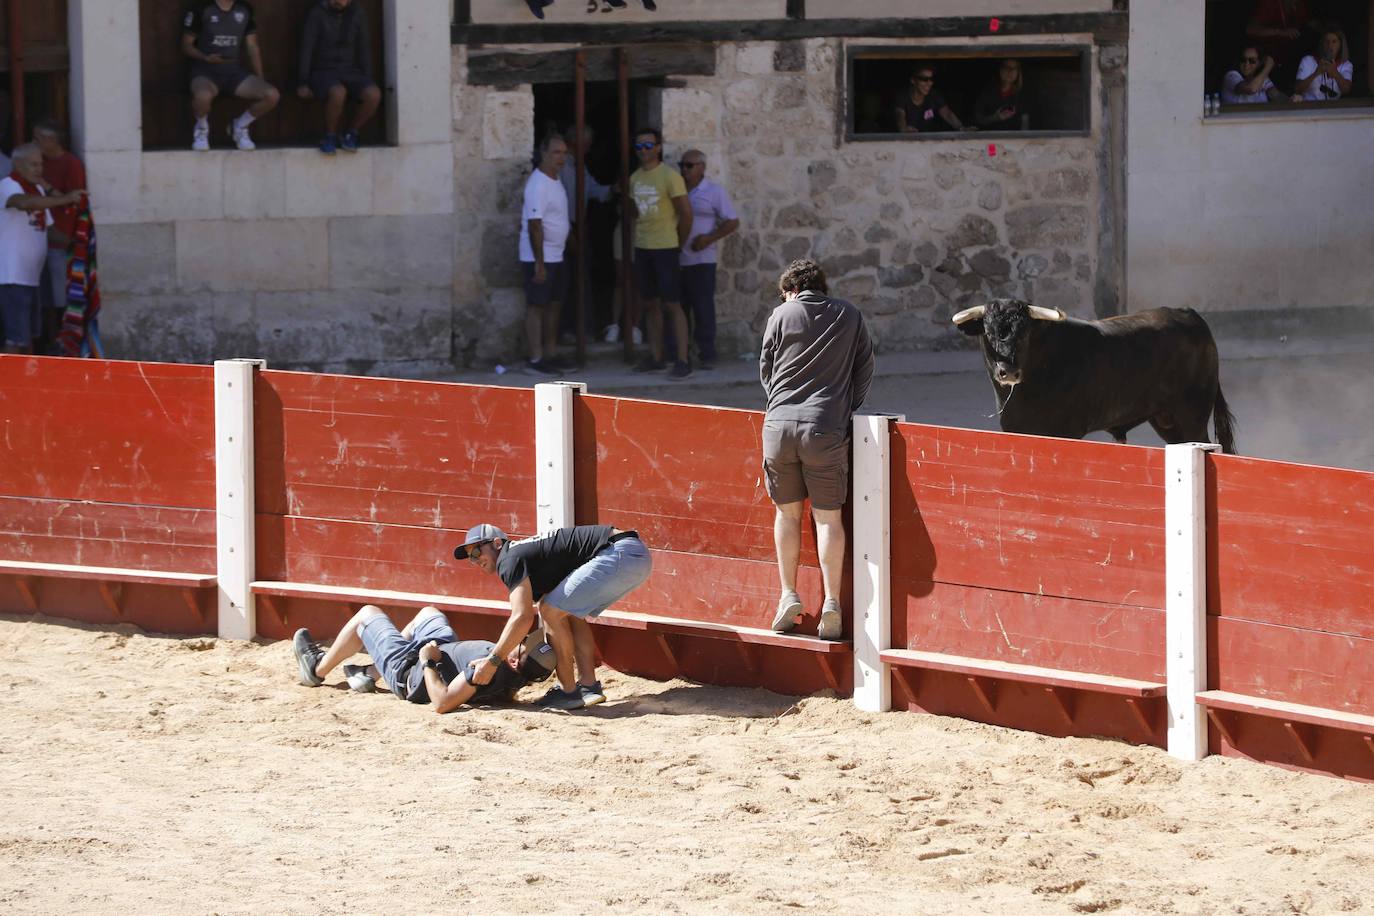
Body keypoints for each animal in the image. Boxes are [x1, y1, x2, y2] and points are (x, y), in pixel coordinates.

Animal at [956, 299, 1236, 453]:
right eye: (988, 332)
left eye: (1025, 333)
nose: (1009, 371)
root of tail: (1191, 315)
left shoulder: (1065, 432)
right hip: (1166, 419)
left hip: (1192, 414)